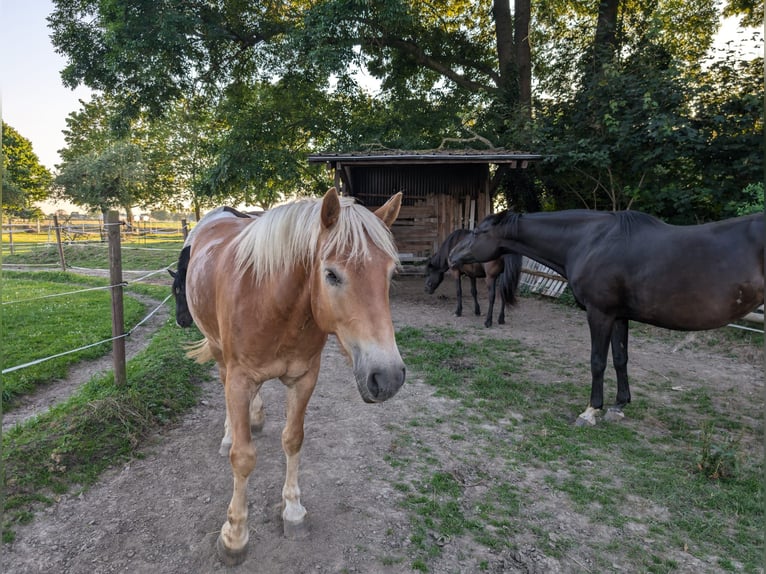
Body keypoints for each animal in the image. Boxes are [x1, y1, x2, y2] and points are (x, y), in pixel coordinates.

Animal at [184, 190, 408, 568]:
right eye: (331, 274)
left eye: (391, 274)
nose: (388, 376)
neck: (272, 302)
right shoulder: (240, 379)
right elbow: (243, 457)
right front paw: (235, 535)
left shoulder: (304, 378)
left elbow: (293, 440)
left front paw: (292, 510)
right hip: (217, 349)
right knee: (223, 385)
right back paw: (230, 434)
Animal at [450, 209, 766, 426]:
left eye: (477, 233)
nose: (452, 256)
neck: (591, 241)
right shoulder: (619, 316)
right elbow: (620, 359)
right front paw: (619, 405)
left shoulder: (600, 314)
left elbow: (597, 361)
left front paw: (591, 410)